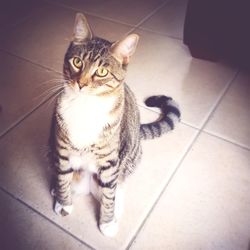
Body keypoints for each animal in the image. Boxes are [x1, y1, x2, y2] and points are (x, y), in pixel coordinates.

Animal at [49, 12, 181, 237]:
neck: (85, 107)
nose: (81, 84)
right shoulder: (62, 150)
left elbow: (109, 195)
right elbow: (63, 177)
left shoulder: (110, 162)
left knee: (115, 189)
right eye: (77, 62)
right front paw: (63, 203)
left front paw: (107, 222)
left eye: (102, 72)